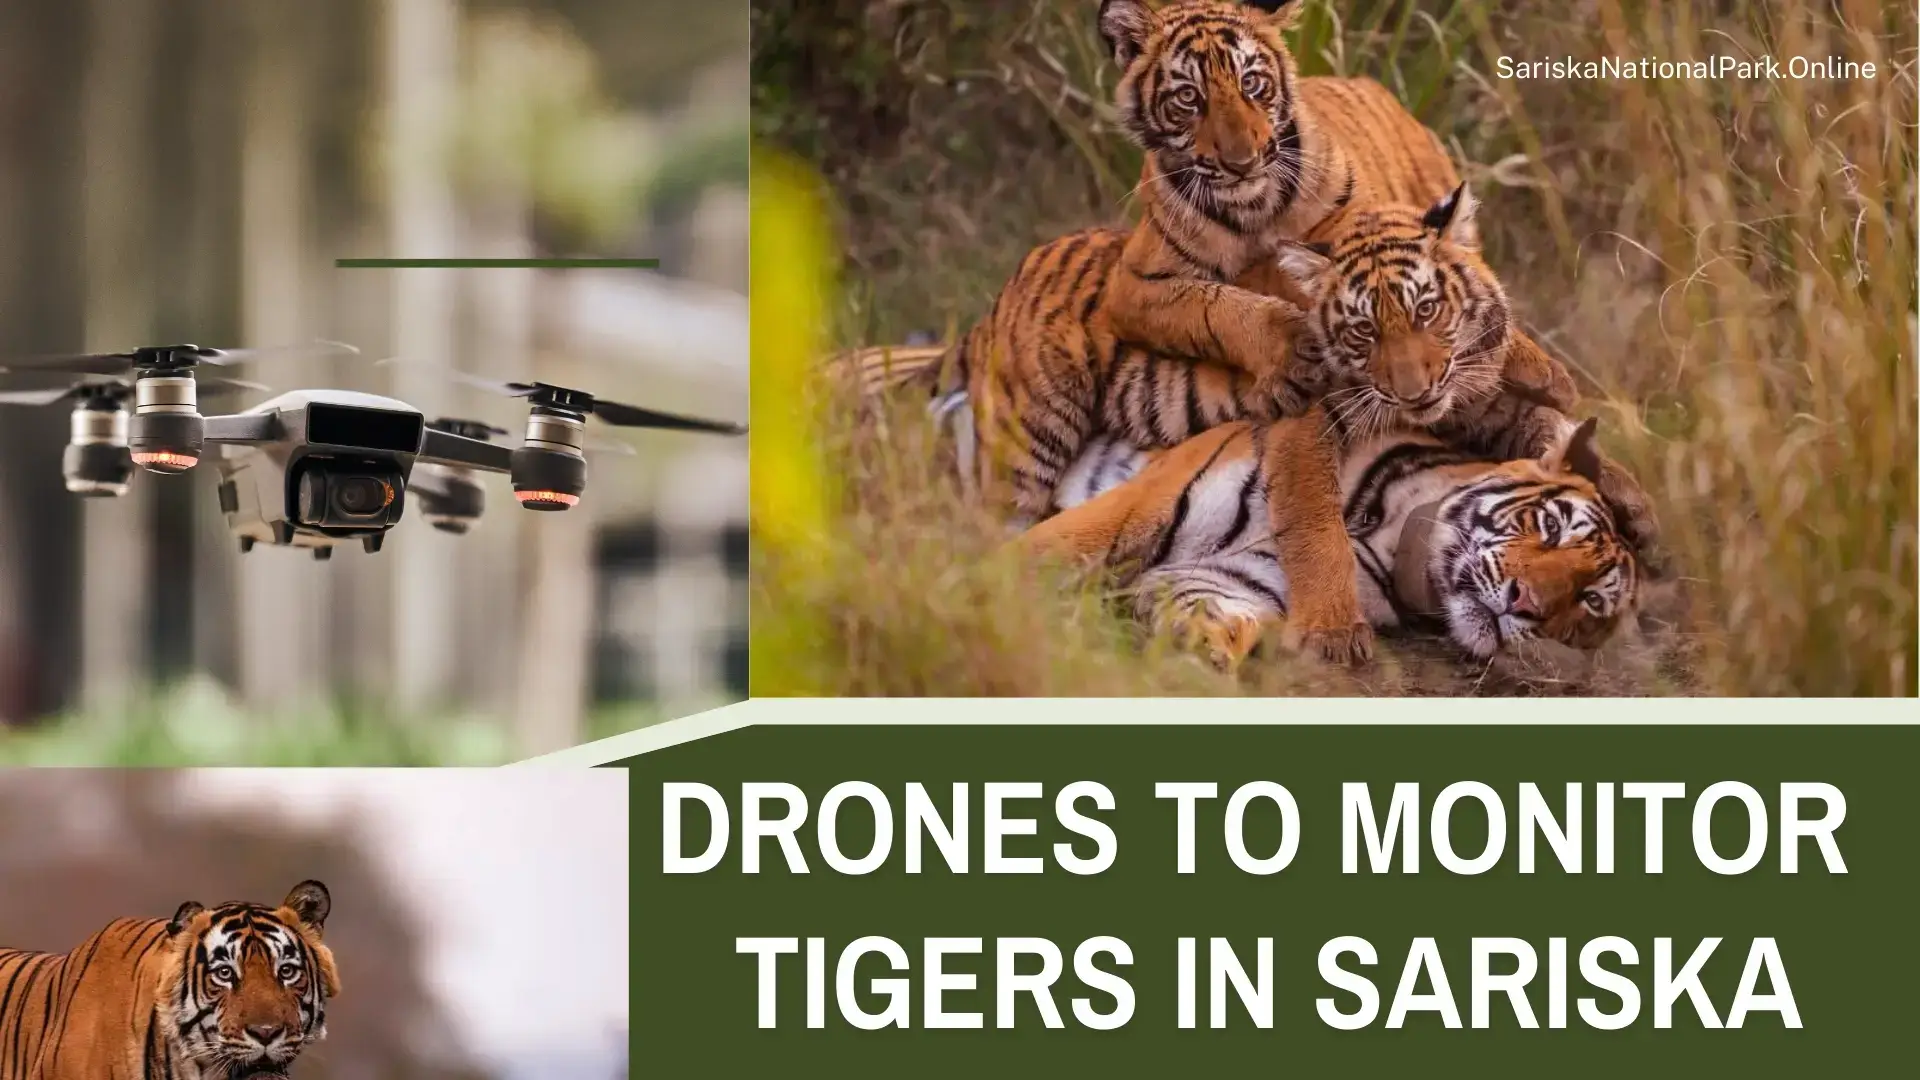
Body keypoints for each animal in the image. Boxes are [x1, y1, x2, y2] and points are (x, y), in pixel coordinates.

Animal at [1021, 414, 1639, 669]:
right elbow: (1046, 553)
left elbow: (1211, 612)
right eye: (1552, 528)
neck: (1382, 539)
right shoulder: (1150, 499)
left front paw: (1202, 651)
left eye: (1589, 603)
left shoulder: (1233, 580)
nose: (1526, 604)